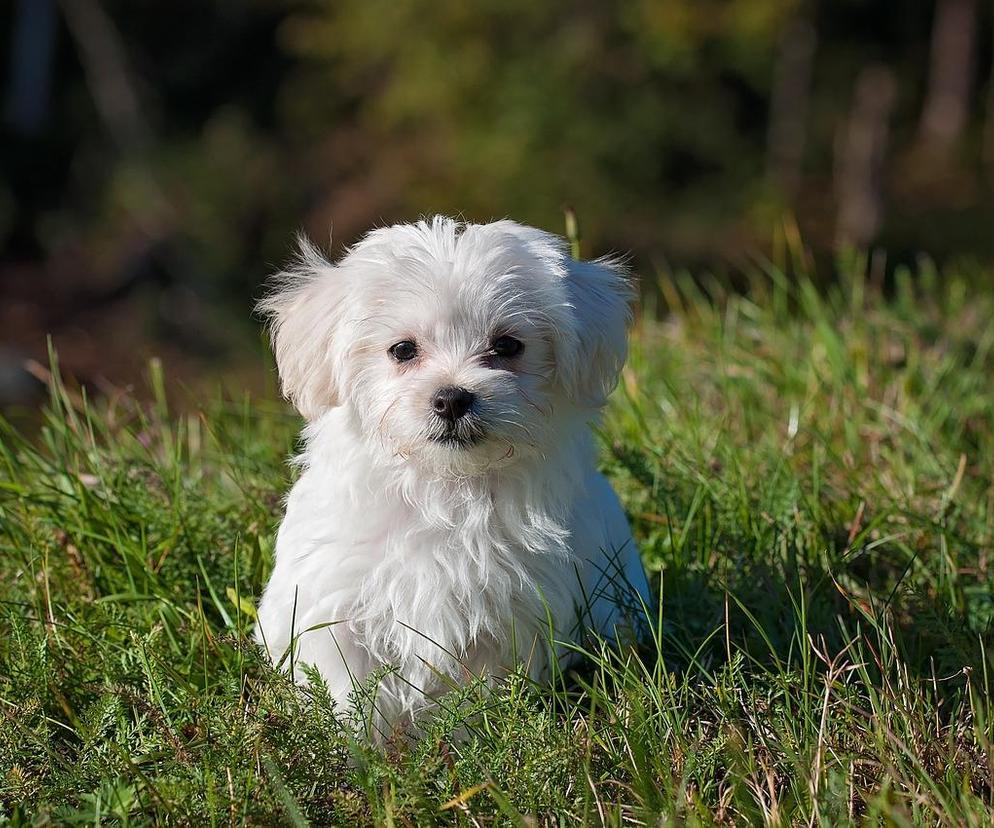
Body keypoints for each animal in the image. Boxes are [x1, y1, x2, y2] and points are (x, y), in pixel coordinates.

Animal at [252, 217, 648, 736]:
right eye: (402, 350)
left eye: (507, 346)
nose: (452, 397)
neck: (446, 487)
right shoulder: (335, 605)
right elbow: (350, 688)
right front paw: (362, 748)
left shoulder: (508, 616)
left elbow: (476, 694)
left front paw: (464, 740)